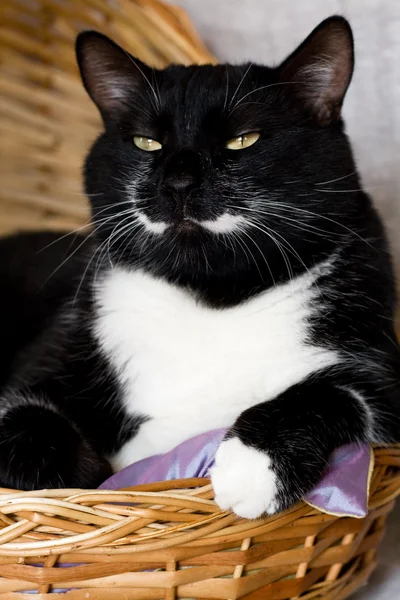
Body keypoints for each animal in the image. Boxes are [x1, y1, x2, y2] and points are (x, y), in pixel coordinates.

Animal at [0, 15, 400, 520]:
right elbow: (26, 410)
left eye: (244, 139)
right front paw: (75, 473)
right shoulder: (66, 336)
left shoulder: (382, 371)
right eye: (146, 142)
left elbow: (329, 393)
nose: (179, 180)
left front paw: (251, 468)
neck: (212, 297)